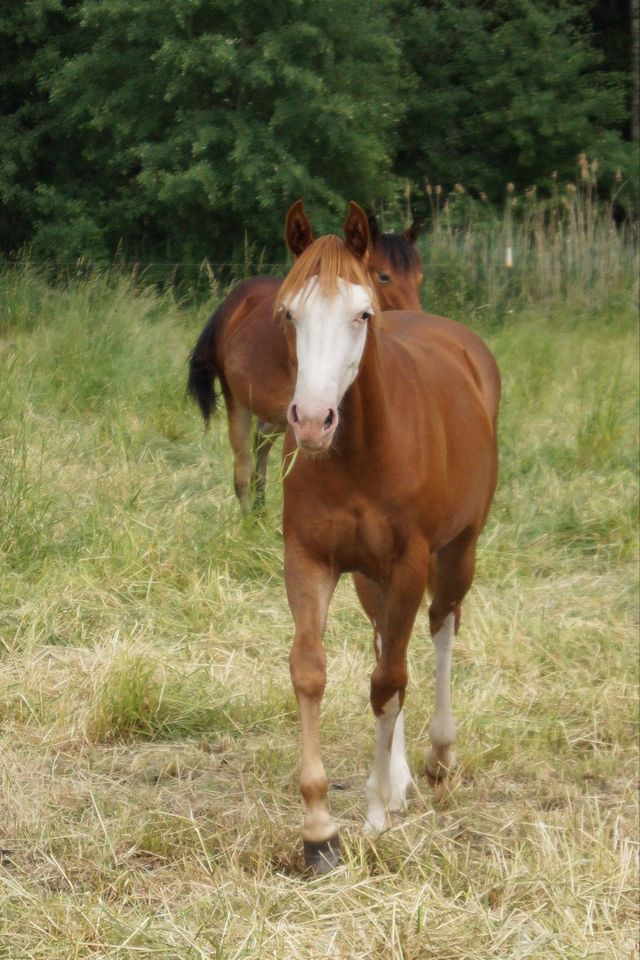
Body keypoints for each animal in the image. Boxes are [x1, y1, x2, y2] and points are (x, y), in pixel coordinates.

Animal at [188, 204, 422, 510]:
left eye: (419, 278)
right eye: (384, 276)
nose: (418, 318)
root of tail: (232, 302)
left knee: (261, 444)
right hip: (239, 403)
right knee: (243, 469)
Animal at [276, 201, 500, 872]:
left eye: (362, 312)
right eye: (289, 312)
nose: (312, 421)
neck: (358, 451)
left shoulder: (409, 562)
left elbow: (389, 681)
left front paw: (374, 813)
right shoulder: (310, 559)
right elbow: (312, 671)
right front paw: (320, 830)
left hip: (458, 550)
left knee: (442, 625)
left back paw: (440, 758)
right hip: (370, 575)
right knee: (386, 641)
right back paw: (400, 776)